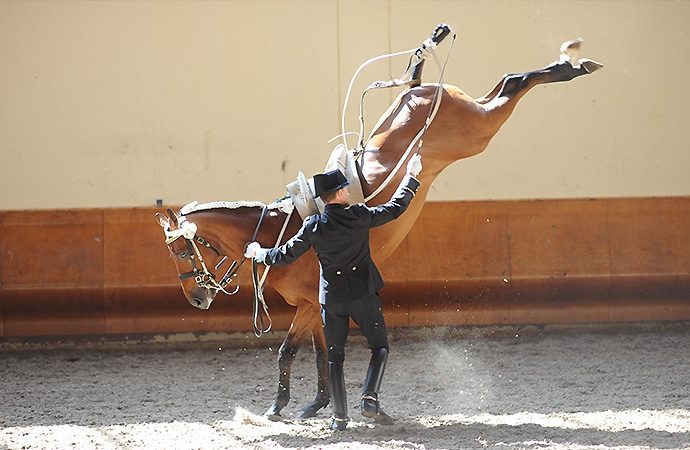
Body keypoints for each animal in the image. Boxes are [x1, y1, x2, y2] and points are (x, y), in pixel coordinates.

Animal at [155, 26, 596, 420]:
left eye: (182, 251)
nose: (196, 299)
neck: (275, 231)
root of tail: (424, 94)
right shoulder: (317, 306)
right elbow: (316, 354)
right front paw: (311, 405)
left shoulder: (310, 306)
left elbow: (295, 352)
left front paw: (286, 406)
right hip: (467, 117)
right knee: (483, 82)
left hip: (480, 130)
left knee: (513, 83)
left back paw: (569, 66)